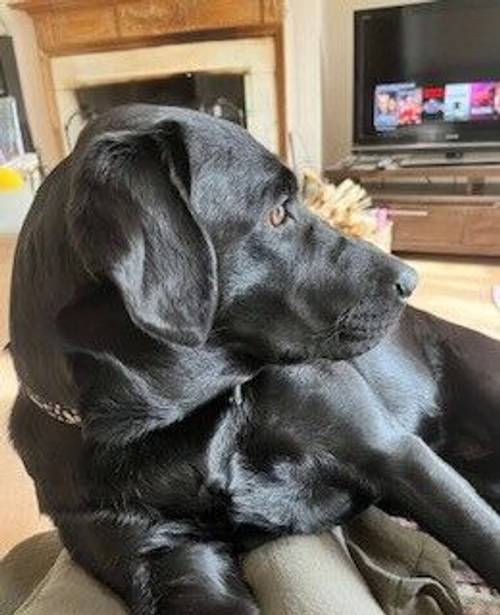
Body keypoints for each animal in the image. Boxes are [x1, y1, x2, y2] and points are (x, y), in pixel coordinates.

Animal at [6, 103, 500, 612]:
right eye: (277, 213)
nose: (411, 279)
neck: (192, 418)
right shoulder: (166, 560)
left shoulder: (397, 455)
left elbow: (485, 537)